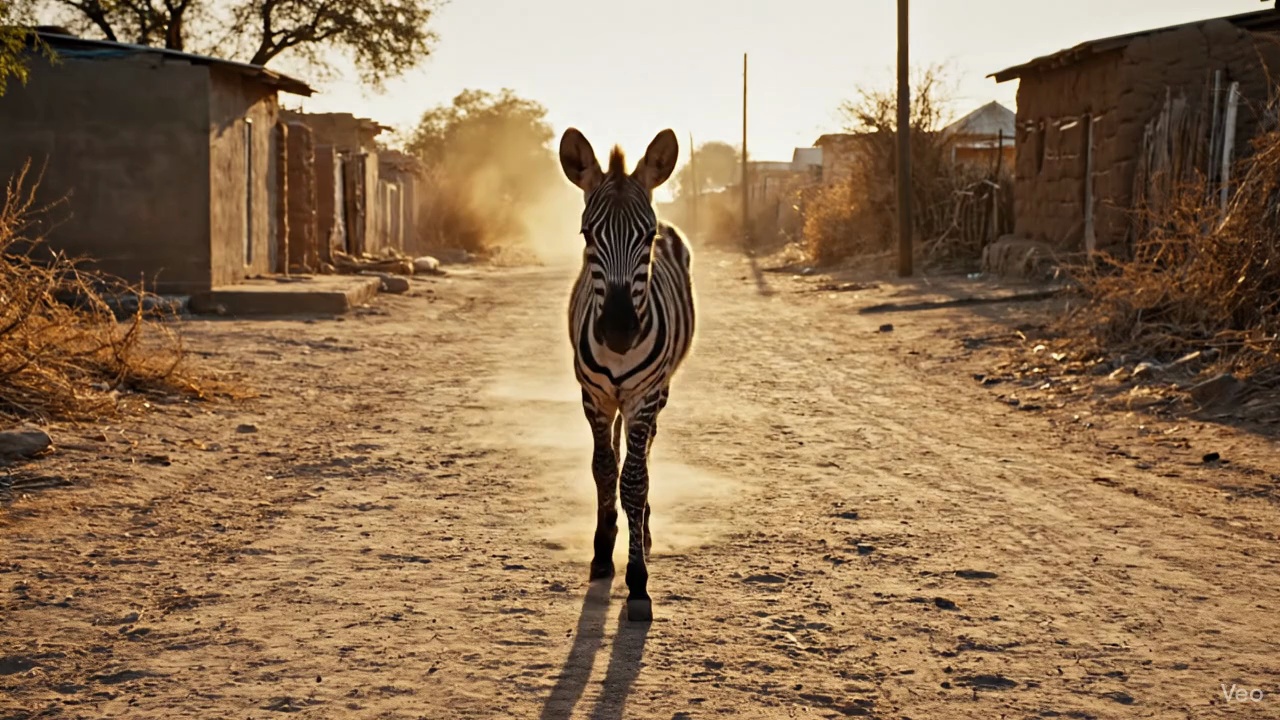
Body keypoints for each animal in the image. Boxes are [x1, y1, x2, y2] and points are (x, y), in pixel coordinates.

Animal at [558, 127, 696, 622]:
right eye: (586, 233)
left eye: (649, 236)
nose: (619, 332)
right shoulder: (594, 396)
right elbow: (603, 469)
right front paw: (602, 552)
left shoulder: (643, 395)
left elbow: (634, 481)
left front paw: (638, 582)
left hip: (659, 391)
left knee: (645, 454)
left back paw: (645, 530)